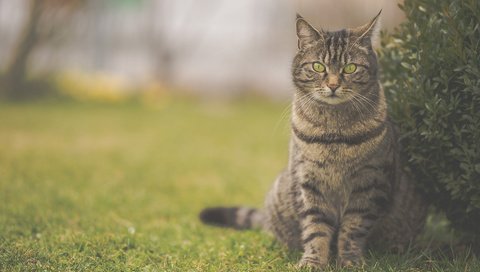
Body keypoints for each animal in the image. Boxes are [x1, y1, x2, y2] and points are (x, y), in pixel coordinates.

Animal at [199, 11, 428, 270]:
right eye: (318, 66)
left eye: (350, 68)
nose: (333, 85)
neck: (334, 133)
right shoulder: (308, 182)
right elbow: (315, 228)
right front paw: (313, 261)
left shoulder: (370, 183)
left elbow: (353, 228)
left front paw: (350, 261)